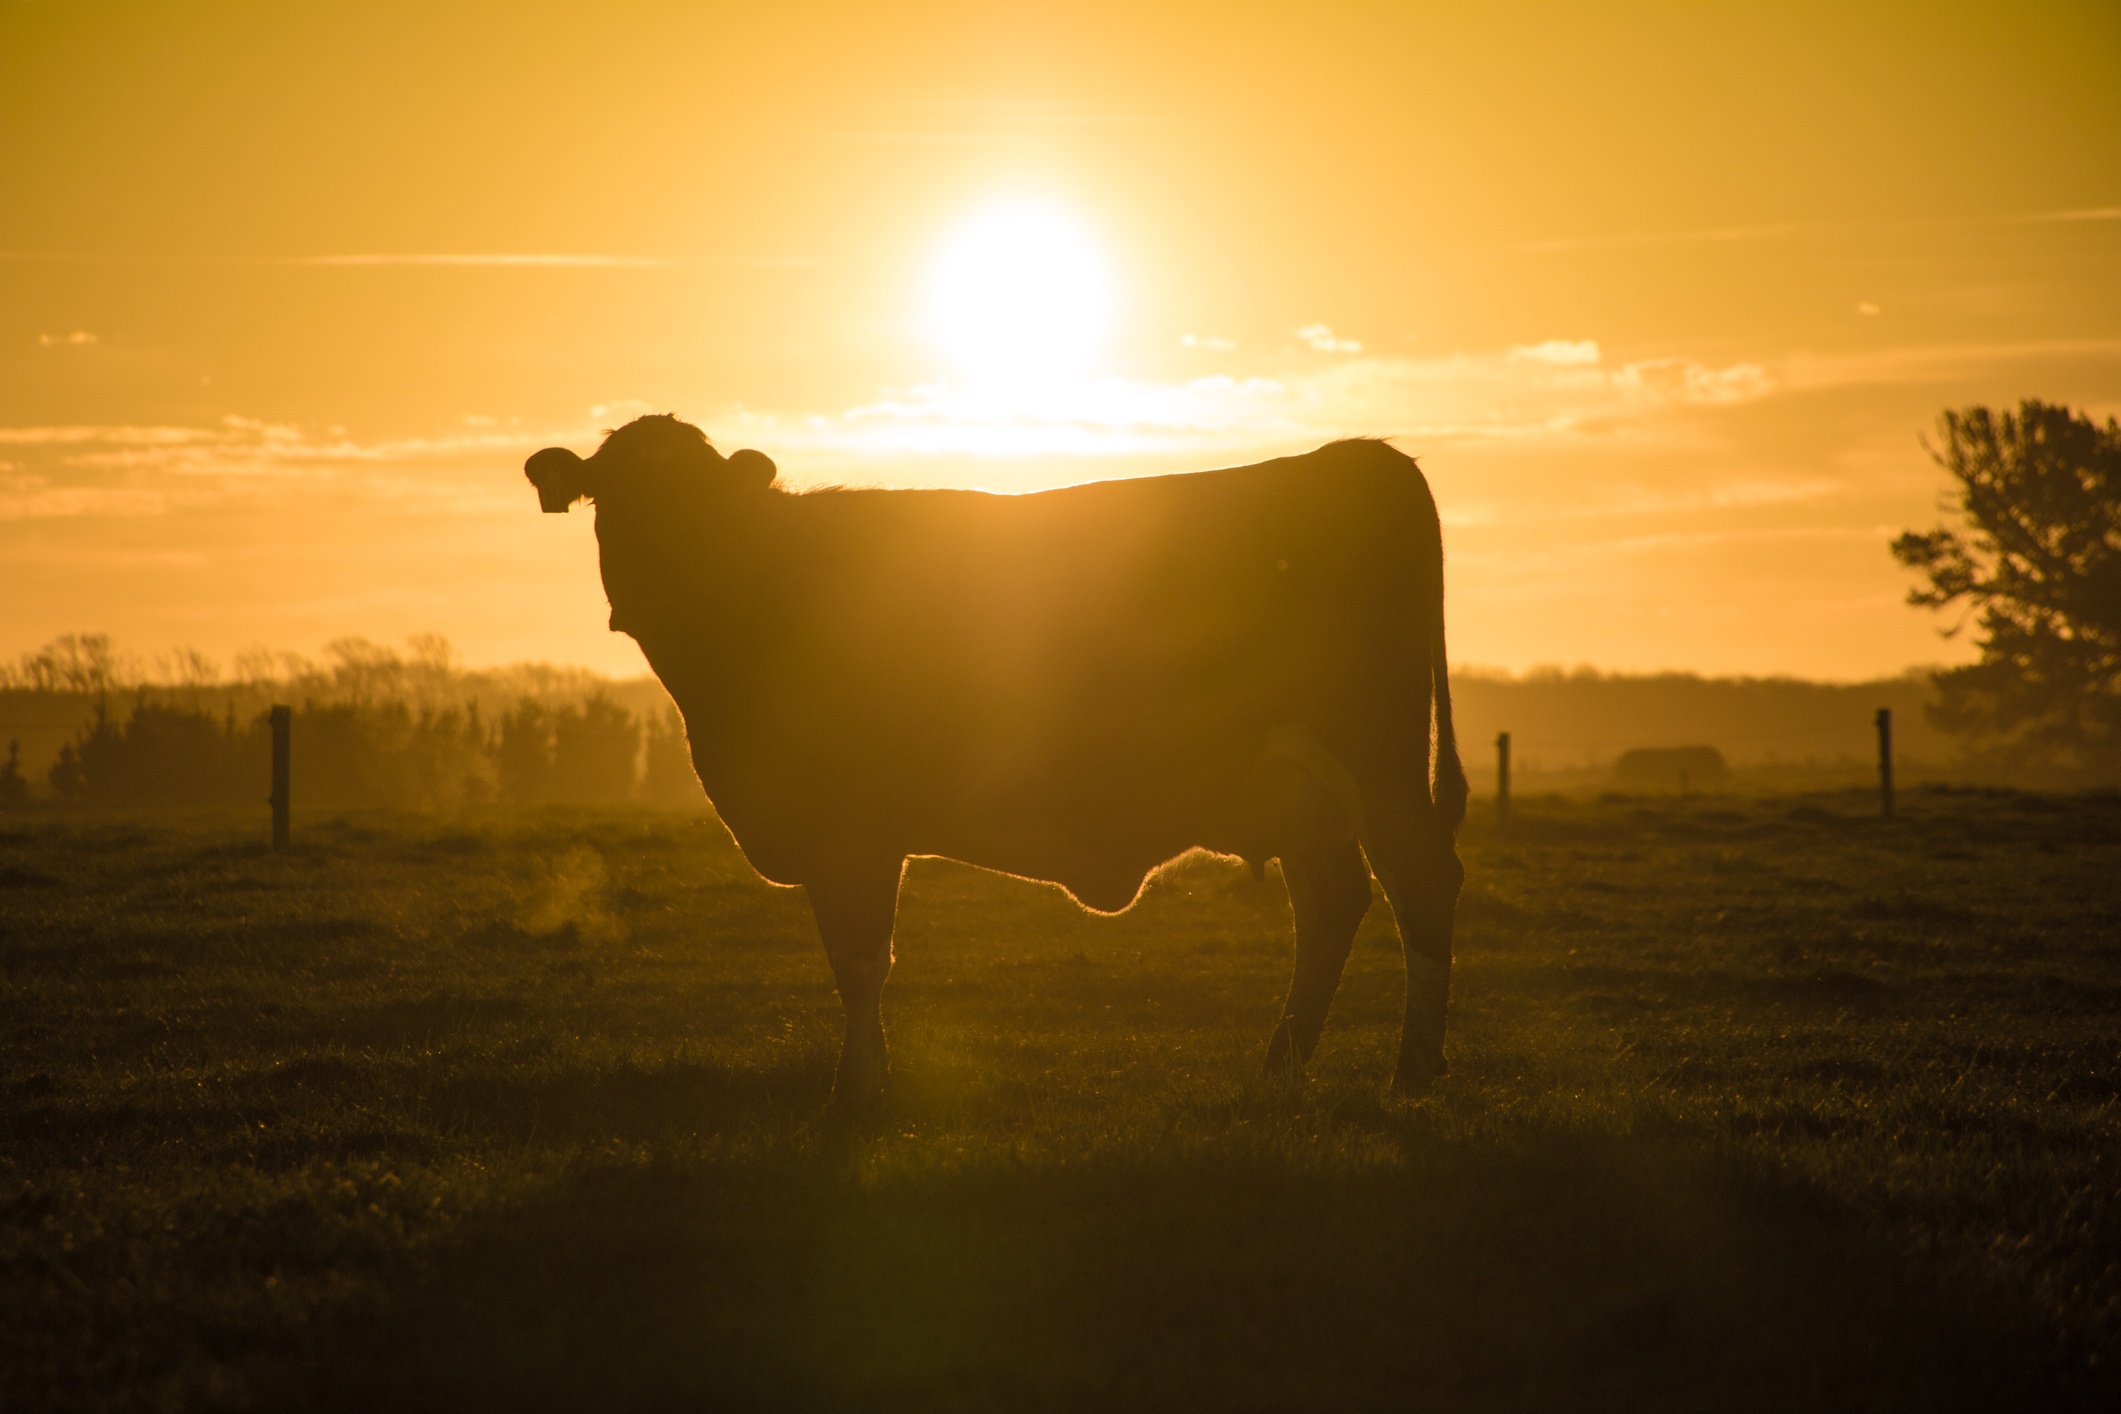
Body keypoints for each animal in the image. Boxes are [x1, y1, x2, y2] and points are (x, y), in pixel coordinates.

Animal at [521, 415, 1467, 1110]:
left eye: (699, 500)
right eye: (611, 496)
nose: (653, 584)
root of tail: (1357, 455)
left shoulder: (854, 829)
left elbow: (860, 961)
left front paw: (856, 1093)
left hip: (1376, 761)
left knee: (1418, 879)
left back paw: (1409, 1072)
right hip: (1298, 790)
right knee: (1332, 901)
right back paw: (1280, 1068)